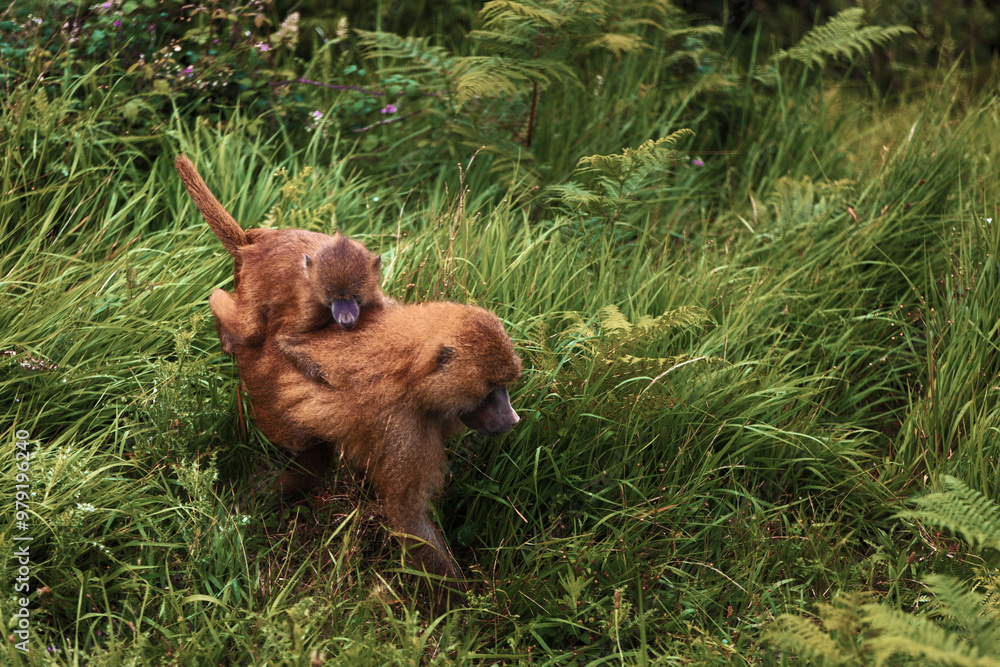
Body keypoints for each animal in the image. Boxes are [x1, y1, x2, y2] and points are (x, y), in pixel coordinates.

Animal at [174, 155, 388, 376]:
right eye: (333, 298)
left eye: (354, 297)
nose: (346, 318)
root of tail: (252, 247)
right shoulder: (309, 307)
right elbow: (284, 339)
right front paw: (321, 376)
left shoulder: (373, 294)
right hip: (252, 281)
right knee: (250, 330)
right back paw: (217, 300)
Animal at [212, 290, 523, 582]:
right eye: (491, 391)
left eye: (504, 387)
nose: (512, 419)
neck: (414, 372)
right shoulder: (403, 425)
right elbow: (408, 516)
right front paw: (457, 599)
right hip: (264, 386)